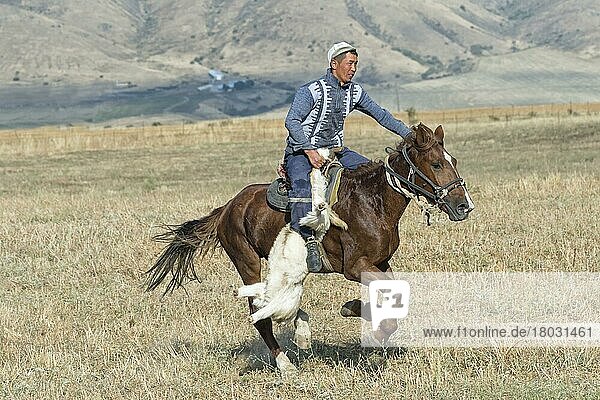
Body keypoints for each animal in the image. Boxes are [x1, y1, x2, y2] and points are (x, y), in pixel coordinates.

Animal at [145, 123, 474, 374]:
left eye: (455, 161)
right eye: (436, 164)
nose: (464, 206)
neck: (373, 200)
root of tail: (227, 207)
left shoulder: (381, 263)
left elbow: (396, 296)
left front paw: (356, 310)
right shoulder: (355, 267)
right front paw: (368, 322)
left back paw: (301, 328)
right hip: (246, 261)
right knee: (259, 313)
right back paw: (285, 363)